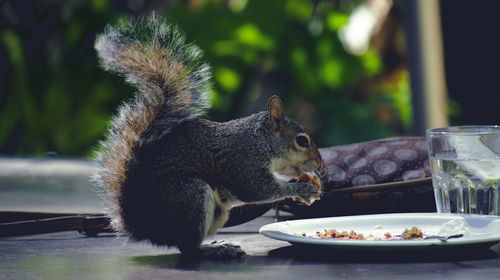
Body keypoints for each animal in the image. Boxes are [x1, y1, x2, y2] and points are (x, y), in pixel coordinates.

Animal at [92, 15, 324, 260]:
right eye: (302, 141)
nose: (321, 165)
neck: (260, 141)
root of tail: (147, 228)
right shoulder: (243, 161)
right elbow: (256, 190)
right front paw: (302, 189)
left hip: (216, 212)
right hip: (190, 195)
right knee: (187, 248)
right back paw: (214, 249)